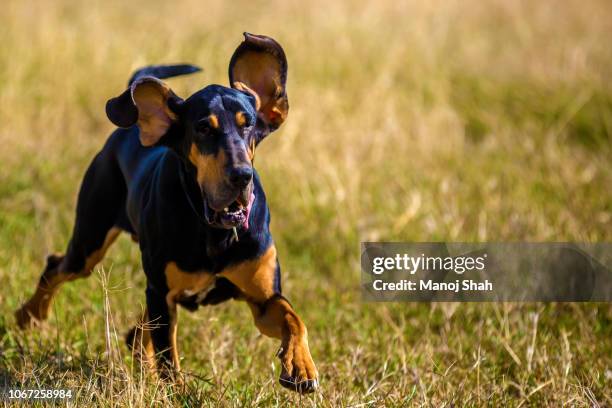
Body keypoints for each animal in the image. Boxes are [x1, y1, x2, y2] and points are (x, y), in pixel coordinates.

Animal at [15, 33, 320, 394]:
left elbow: (293, 318)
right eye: (203, 129)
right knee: (58, 267)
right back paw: (28, 317)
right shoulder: (162, 293)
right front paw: (178, 393)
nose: (241, 176)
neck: (215, 230)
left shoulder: (262, 297)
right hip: (90, 242)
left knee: (136, 332)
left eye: (249, 126)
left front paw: (301, 367)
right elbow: (168, 360)